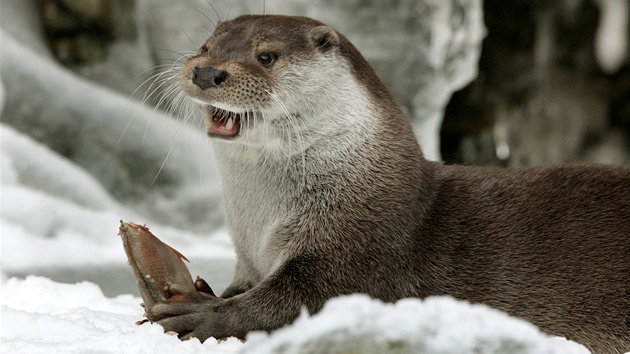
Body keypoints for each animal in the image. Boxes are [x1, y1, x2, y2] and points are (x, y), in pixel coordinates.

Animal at [149, 14, 630, 354]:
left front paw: (198, 313)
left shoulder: (358, 253)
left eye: (266, 56)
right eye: (205, 46)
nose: (206, 71)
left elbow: (291, 302)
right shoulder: (251, 258)